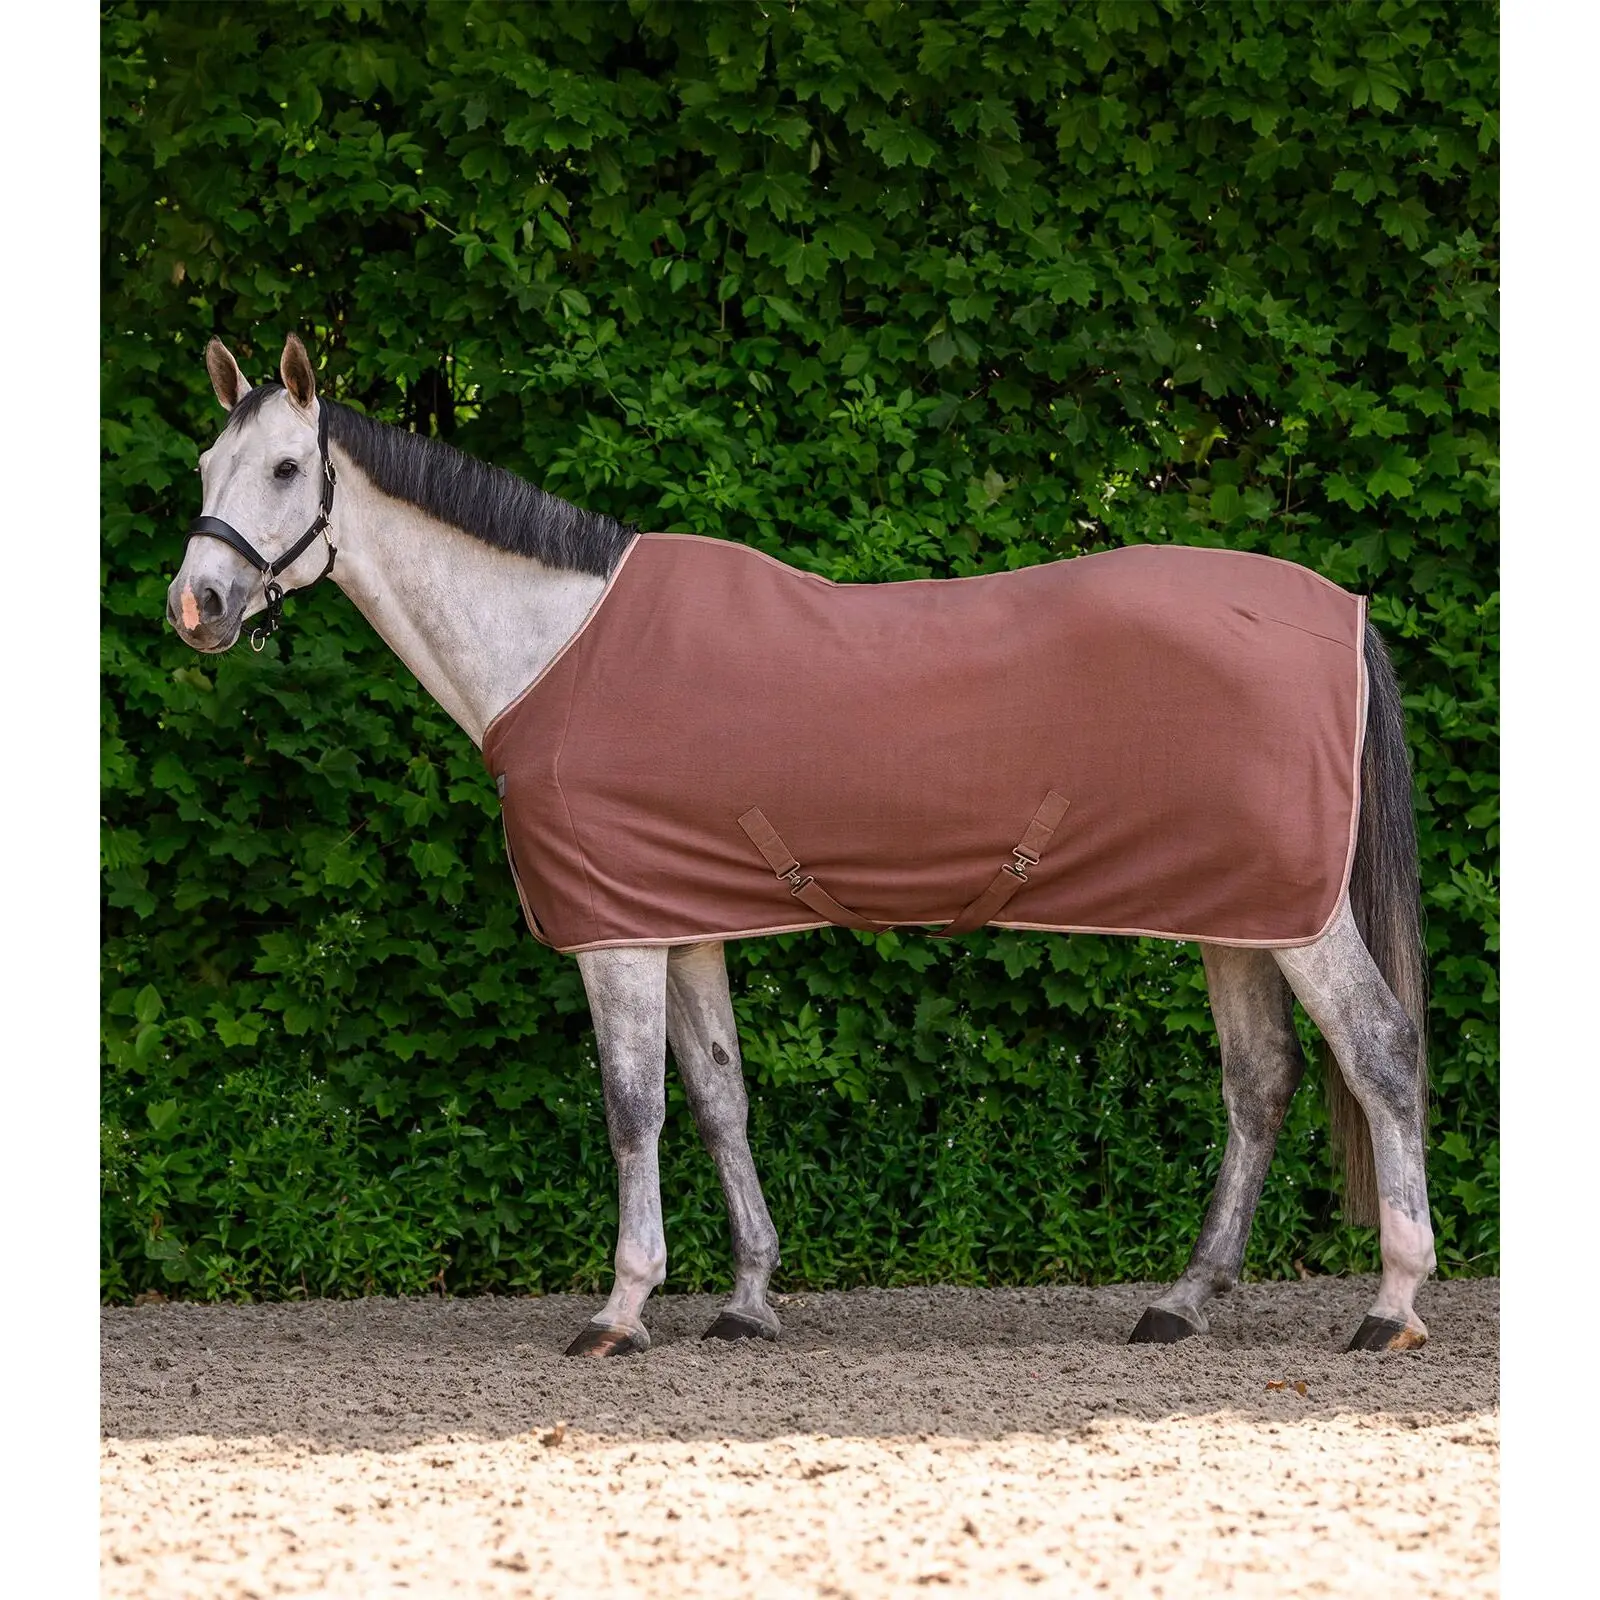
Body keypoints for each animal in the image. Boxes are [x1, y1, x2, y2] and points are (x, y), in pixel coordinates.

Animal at [164, 332, 1435, 1357]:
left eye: (286, 469)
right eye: (204, 469)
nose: (198, 606)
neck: (555, 643)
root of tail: (1344, 610)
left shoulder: (615, 936)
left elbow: (632, 1107)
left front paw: (621, 1310)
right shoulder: (679, 920)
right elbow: (719, 1096)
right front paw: (746, 1299)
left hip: (1302, 919)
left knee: (1379, 1051)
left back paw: (1391, 1304)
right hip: (1237, 915)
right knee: (1259, 1083)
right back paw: (1181, 1299)